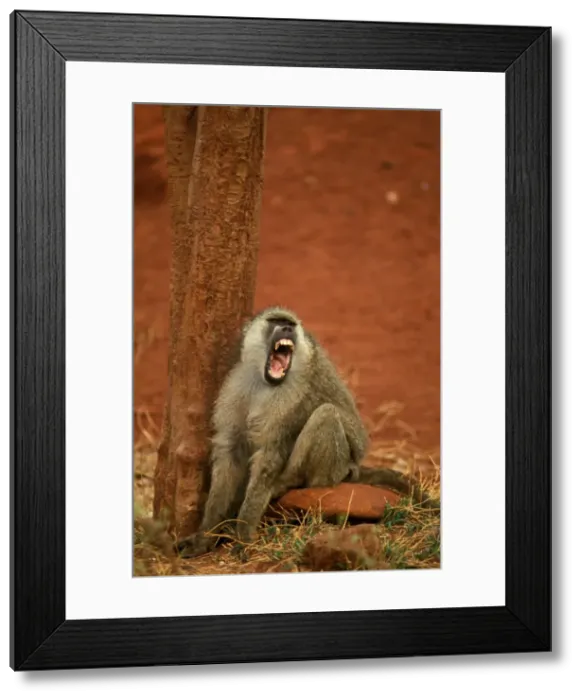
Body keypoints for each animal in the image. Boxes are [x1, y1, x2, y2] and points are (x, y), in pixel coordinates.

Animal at [177, 305, 439, 559]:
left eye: (290, 324)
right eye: (275, 321)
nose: (287, 329)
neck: (265, 382)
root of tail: (352, 469)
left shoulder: (289, 401)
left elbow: (270, 456)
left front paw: (243, 534)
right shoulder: (235, 387)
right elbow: (230, 453)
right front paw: (205, 536)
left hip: (336, 471)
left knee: (326, 415)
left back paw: (287, 483)